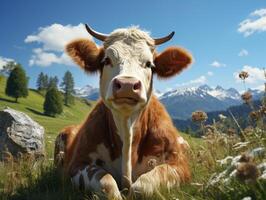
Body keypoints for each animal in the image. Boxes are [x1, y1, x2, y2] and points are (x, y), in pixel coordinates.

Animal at [54, 24, 192, 199]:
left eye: (149, 64)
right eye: (106, 60)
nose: (127, 85)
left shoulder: (180, 166)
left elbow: (143, 185)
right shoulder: (77, 164)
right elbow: (107, 184)